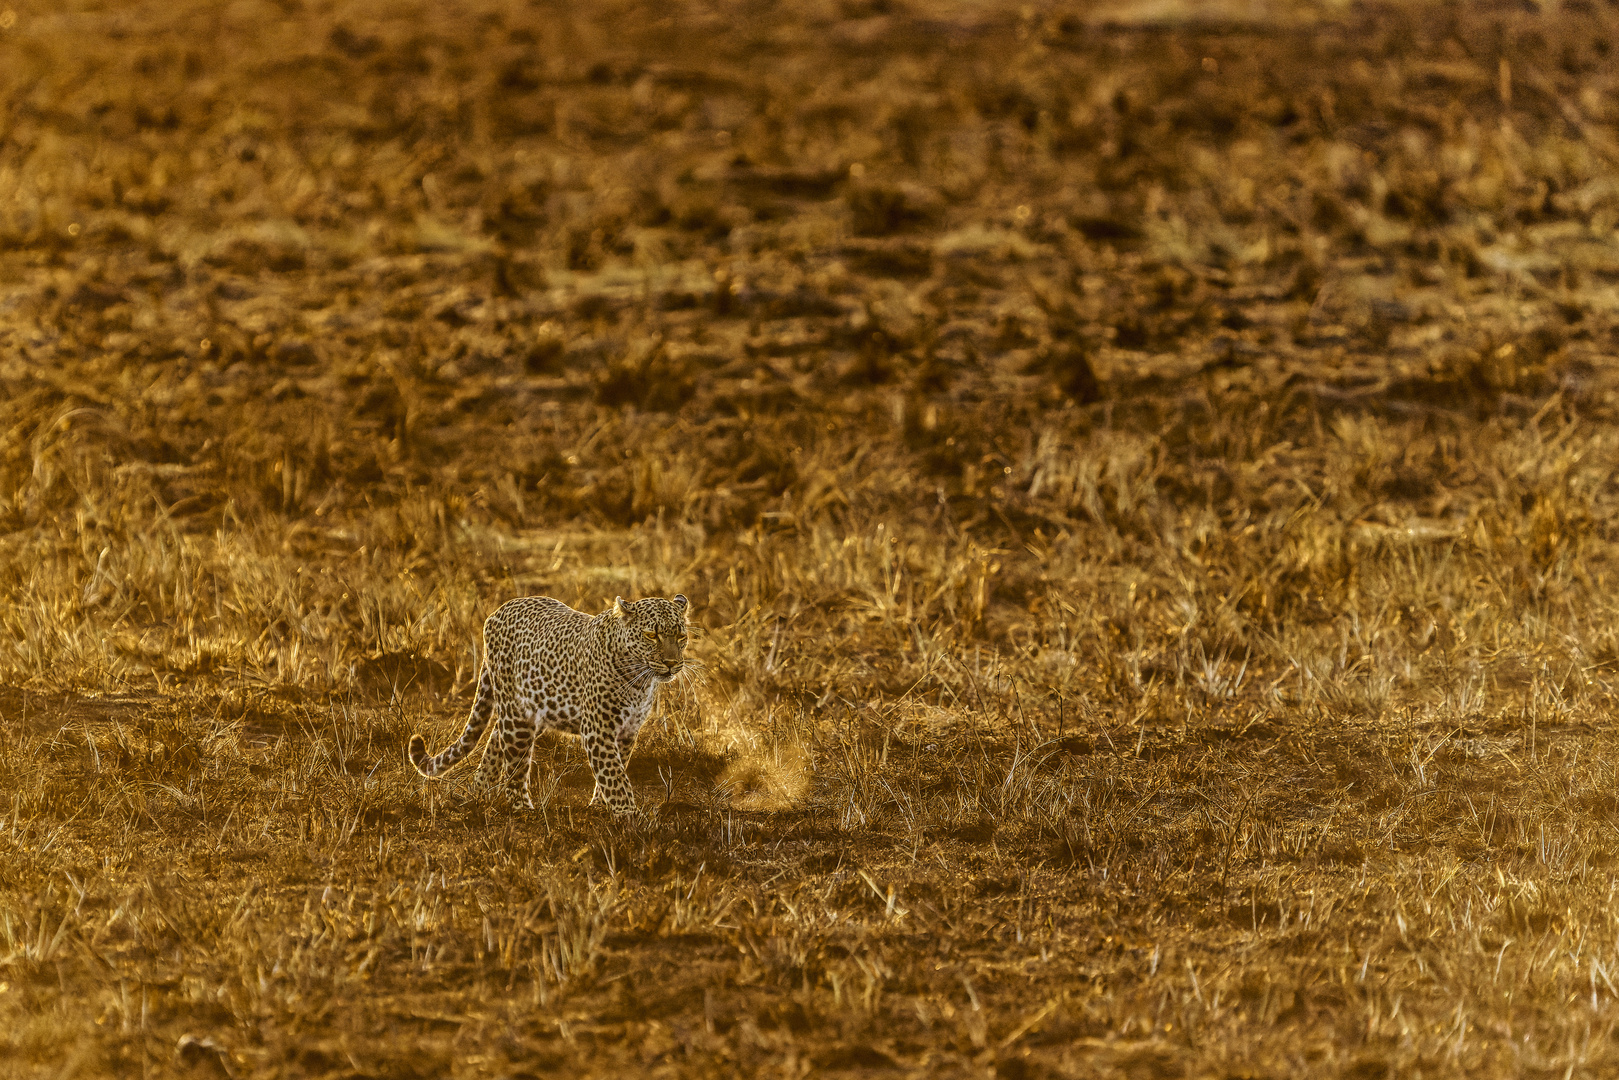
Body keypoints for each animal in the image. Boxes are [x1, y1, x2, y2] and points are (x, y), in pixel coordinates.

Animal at [407, 595, 686, 816]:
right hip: (517, 715)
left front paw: (600, 806)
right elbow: (614, 775)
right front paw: (628, 815)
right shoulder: (598, 729)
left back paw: (479, 791)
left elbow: (613, 771)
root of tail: (498, 610)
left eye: (682, 636)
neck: (639, 680)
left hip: (534, 711)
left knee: (496, 737)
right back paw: (522, 809)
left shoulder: (627, 731)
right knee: (515, 764)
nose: (672, 663)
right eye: (651, 635)